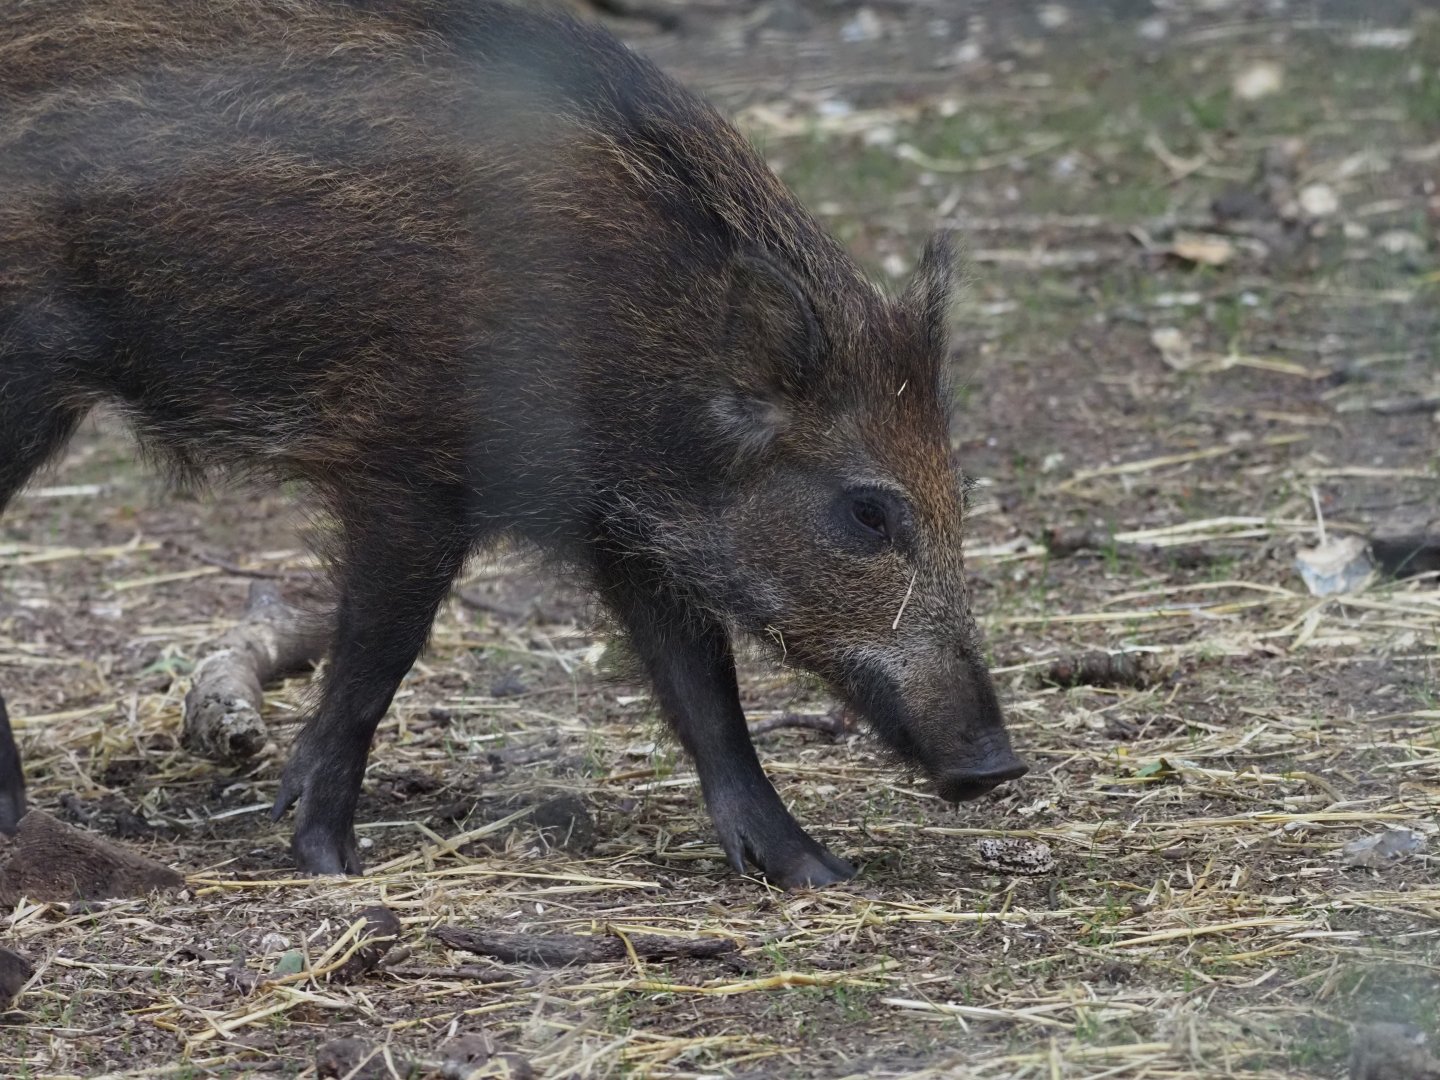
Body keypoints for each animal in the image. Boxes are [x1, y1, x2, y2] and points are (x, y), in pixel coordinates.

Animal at [0, 0, 1027, 888]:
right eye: (868, 511)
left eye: (960, 498)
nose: (997, 767)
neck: (639, 339)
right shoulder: (406, 472)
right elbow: (375, 662)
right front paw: (328, 860)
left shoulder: (626, 526)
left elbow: (705, 691)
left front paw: (814, 872)